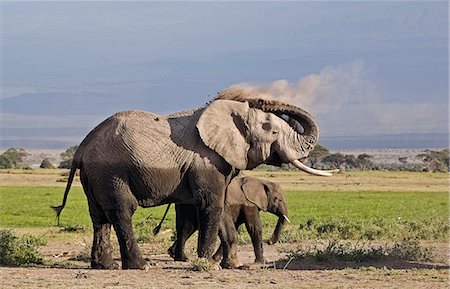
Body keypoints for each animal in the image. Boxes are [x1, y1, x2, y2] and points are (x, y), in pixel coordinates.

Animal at [52, 88, 334, 270]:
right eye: (273, 131)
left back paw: (105, 266)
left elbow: (220, 208)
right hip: (111, 172)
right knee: (122, 211)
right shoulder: (207, 162)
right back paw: (140, 266)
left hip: (95, 176)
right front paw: (208, 264)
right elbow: (212, 205)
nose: (258, 98)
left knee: (99, 216)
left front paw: (230, 264)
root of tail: (82, 148)